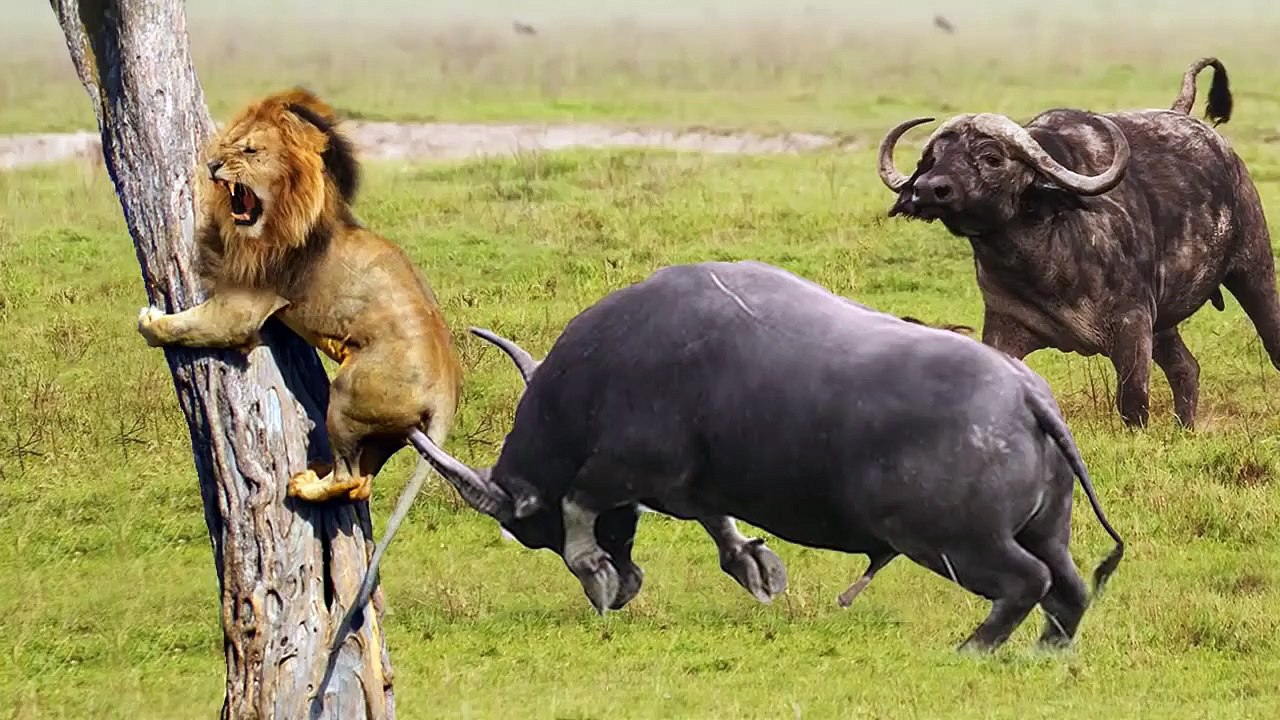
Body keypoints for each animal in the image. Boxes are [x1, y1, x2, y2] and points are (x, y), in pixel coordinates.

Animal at [137, 88, 478, 507]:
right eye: (230, 143)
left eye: (250, 150)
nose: (213, 165)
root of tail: (448, 392)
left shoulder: (243, 305)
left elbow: (192, 326)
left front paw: (150, 321)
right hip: (388, 433)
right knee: (361, 483)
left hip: (348, 397)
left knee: (347, 477)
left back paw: (303, 484)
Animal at [418, 260, 1124, 652]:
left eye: (528, 525)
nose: (626, 586)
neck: (596, 381)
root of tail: (1026, 394)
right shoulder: (687, 487)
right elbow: (717, 523)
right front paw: (753, 565)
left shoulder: (625, 467)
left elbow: (580, 502)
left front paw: (594, 570)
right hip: (1046, 530)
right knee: (1068, 588)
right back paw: (1044, 652)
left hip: (953, 541)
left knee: (1026, 582)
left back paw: (972, 648)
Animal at [876, 57, 1280, 429]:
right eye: (933, 158)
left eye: (991, 157)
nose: (928, 189)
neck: (1045, 263)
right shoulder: (1004, 326)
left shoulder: (1132, 324)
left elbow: (1133, 404)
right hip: (1164, 321)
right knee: (1186, 368)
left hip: (1253, 269)